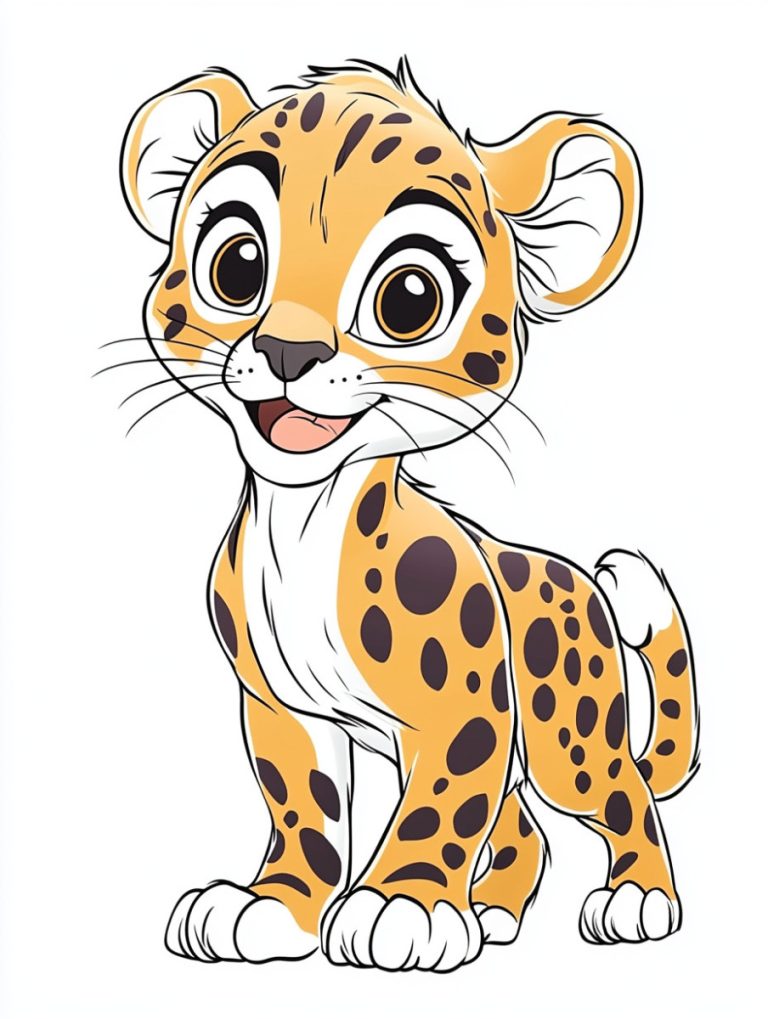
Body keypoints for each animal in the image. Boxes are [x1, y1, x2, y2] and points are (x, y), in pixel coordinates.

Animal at [118, 59, 699, 972]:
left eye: (410, 297)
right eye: (239, 262)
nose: (288, 350)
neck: (302, 524)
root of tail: (579, 578)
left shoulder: (465, 710)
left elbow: (443, 802)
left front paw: (404, 905)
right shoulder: (281, 707)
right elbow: (303, 807)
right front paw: (273, 904)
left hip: (568, 735)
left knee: (625, 794)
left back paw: (637, 899)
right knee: (525, 826)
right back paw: (494, 913)